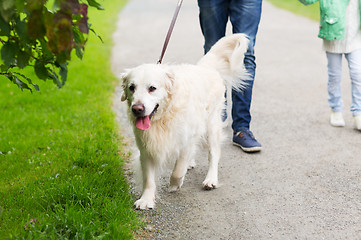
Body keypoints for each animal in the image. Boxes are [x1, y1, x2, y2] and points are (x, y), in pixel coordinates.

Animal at [120, 33, 248, 210]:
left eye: (152, 88)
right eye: (131, 87)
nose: (137, 109)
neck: (163, 117)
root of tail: (206, 67)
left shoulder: (187, 140)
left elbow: (178, 169)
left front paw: (175, 184)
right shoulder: (146, 146)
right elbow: (149, 178)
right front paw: (146, 199)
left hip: (211, 126)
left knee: (214, 154)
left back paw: (211, 179)